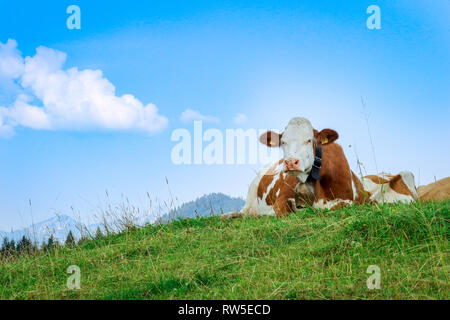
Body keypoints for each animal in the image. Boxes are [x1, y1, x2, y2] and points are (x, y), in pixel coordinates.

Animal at [227, 117, 420, 220]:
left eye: (309, 140)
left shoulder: (352, 200)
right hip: (251, 194)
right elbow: (283, 210)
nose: (290, 163)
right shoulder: (282, 198)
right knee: (243, 212)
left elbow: (338, 206)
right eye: (283, 142)